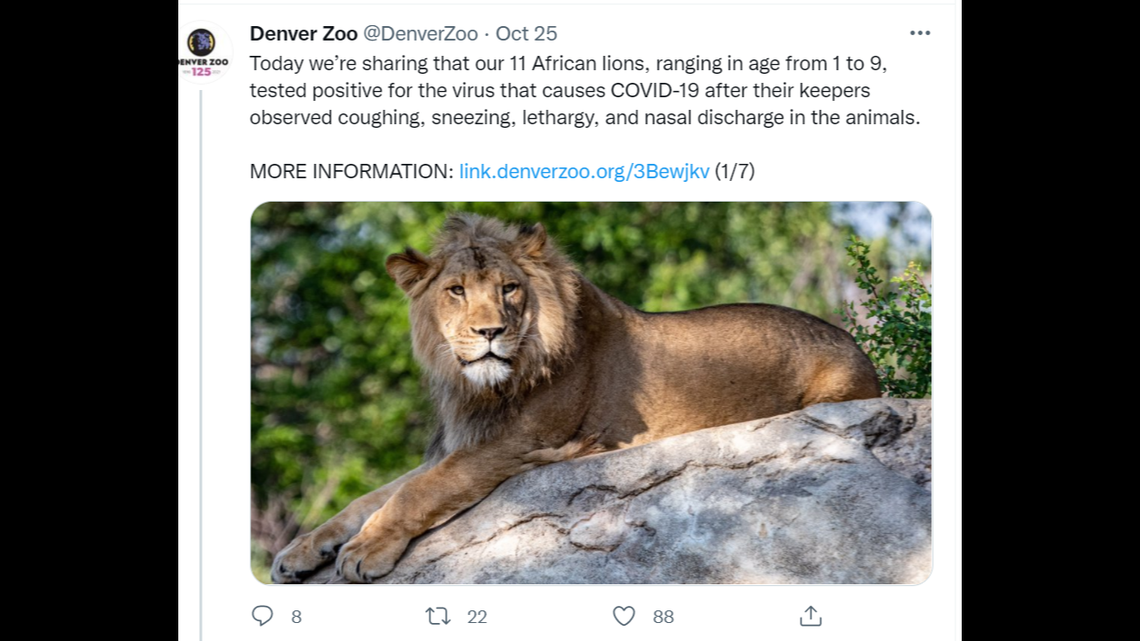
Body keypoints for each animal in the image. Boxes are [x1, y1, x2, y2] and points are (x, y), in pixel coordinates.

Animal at [272, 214, 880, 583]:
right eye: (456, 291)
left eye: (509, 289)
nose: (491, 332)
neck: (486, 387)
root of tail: (855, 345)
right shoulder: (464, 442)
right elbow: (371, 498)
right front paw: (300, 552)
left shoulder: (518, 440)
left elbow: (420, 492)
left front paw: (363, 552)